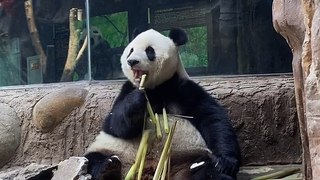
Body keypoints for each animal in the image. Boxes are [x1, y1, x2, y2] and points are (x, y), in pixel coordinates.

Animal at [85, 27, 240, 179]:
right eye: (131, 50)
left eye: (149, 51)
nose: (131, 61)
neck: (155, 88)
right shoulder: (127, 89)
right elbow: (114, 124)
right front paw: (137, 100)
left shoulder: (182, 88)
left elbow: (212, 118)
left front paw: (226, 161)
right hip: (112, 149)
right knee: (93, 158)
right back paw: (108, 168)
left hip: (190, 157)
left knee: (207, 171)